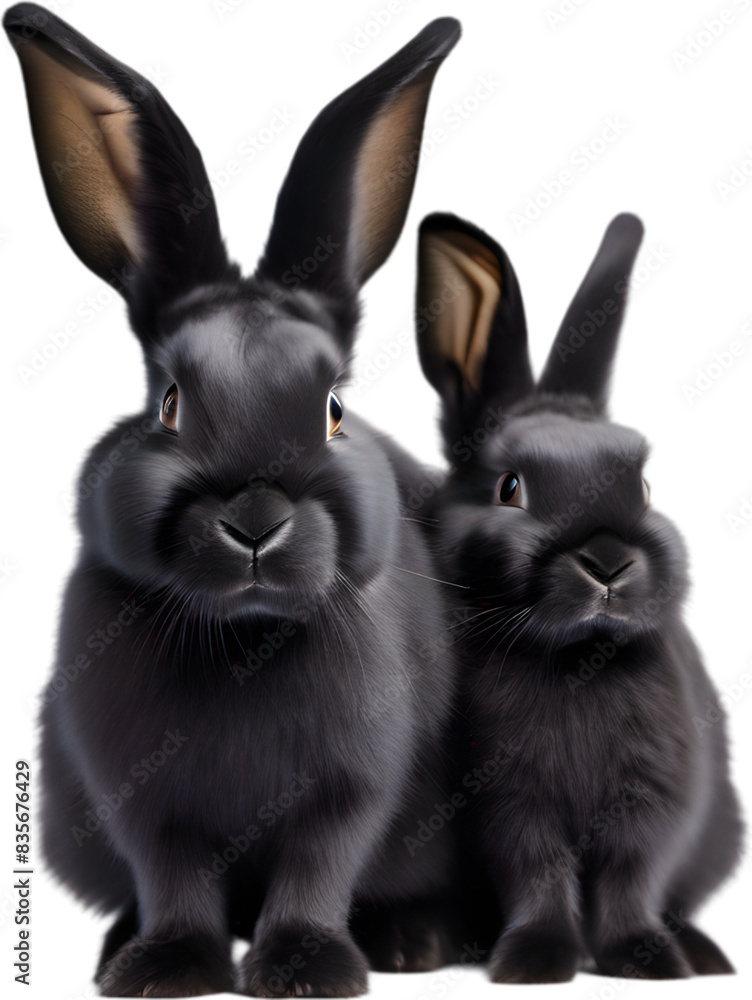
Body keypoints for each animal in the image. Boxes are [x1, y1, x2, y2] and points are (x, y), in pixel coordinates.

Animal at [4, 4, 464, 996]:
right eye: (169, 404)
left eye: (333, 410)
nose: (256, 522)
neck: (245, 637)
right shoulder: (141, 798)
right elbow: (173, 874)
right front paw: (164, 968)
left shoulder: (348, 791)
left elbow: (318, 866)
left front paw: (306, 970)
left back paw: (413, 944)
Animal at [413, 210, 743, 983]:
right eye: (511, 488)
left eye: (645, 487)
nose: (609, 562)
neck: (579, 661)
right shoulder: (514, 804)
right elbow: (539, 872)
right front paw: (535, 960)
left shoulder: (651, 804)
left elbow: (632, 878)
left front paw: (646, 961)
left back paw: (703, 952)